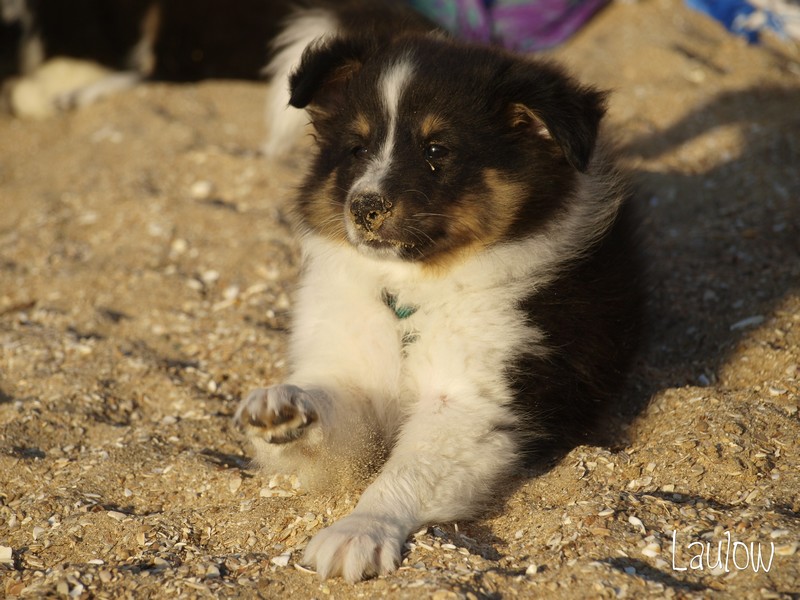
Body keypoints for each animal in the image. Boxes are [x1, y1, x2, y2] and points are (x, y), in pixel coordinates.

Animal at [233, 0, 644, 580]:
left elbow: (407, 470)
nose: (364, 206)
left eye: (436, 149)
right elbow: (333, 417)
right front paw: (282, 407)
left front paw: (356, 533)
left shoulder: (474, 403)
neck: (409, 294)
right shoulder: (352, 373)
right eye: (356, 148)